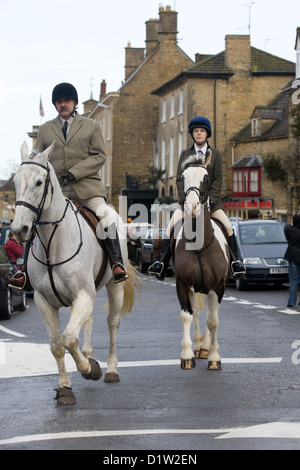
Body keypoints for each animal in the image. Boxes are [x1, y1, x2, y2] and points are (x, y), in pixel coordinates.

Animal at [10, 142, 139, 404]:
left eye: (39, 182)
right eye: (16, 181)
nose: (19, 229)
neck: (53, 244)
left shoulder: (82, 295)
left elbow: (69, 338)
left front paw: (90, 370)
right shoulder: (44, 301)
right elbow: (57, 344)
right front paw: (65, 388)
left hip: (114, 286)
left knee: (112, 323)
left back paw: (110, 369)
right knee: (87, 322)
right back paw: (88, 354)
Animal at [172, 151, 229, 370]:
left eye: (205, 178)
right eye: (183, 177)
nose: (192, 206)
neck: (199, 245)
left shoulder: (219, 285)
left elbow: (213, 321)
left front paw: (214, 357)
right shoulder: (182, 282)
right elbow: (187, 315)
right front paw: (187, 355)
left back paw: (205, 347)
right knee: (196, 312)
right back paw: (198, 346)